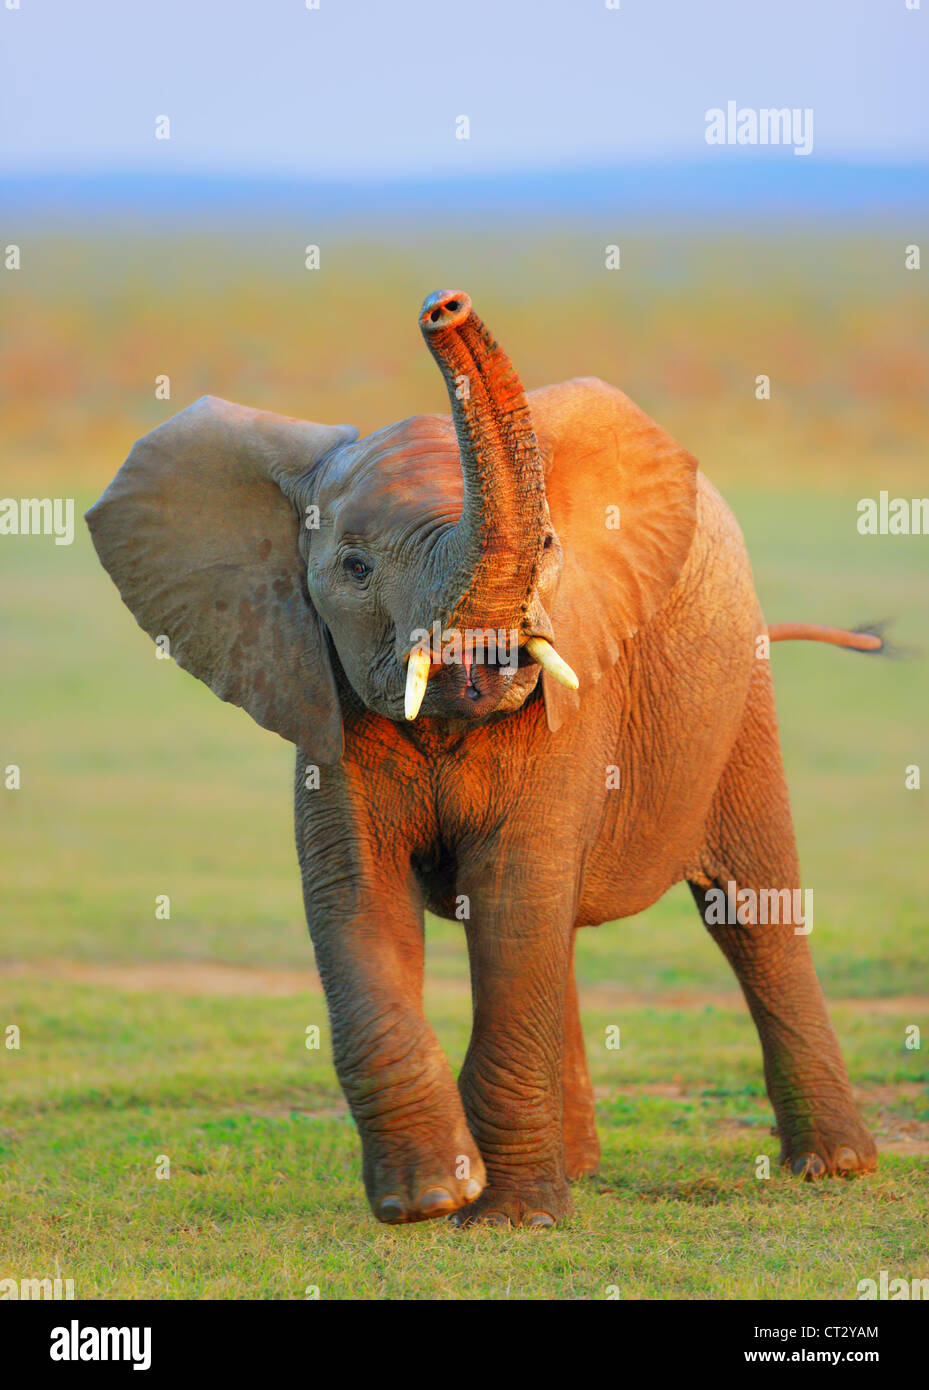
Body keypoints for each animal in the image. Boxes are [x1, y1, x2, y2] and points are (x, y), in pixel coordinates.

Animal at [86, 290, 878, 1228]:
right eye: (353, 567)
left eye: (549, 549)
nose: (444, 307)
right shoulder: (322, 698)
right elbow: (357, 896)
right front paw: (429, 1197)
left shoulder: (574, 697)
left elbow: (512, 893)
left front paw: (511, 1219)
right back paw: (580, 1169)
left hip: (738, 700)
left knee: (749, 912)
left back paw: (832, 1168)